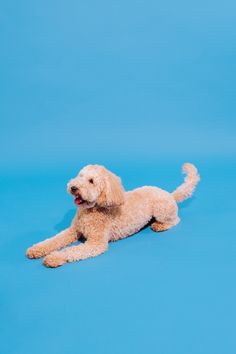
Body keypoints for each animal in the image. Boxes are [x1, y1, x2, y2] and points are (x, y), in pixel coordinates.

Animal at [26, 162, 199, 266]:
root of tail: (170, 194)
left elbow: (71, 250)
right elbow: (54, 240)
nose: (73, 187)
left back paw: (160, 225)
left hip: (162, 210)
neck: (91, 210)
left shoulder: (96, 243)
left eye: (91, 181)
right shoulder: (73, 230)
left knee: (175, 220)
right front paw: (36, 249)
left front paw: (54, 257)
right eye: (80, 176)